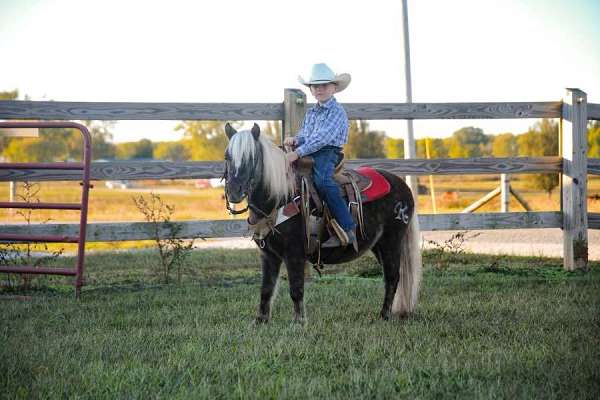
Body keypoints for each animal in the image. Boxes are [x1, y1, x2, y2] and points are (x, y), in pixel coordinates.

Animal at [224, 123, 422, 324]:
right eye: (227, 156)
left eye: (252, 158)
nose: (234, 192)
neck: (281, 196)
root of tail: (403, 185)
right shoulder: (268, 255)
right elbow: (266, 289)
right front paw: (260, 321)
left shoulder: (294, 253)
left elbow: (296, 289)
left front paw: (299, 322)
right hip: (379, 245)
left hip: (392, 241)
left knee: (392, 277)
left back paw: (384, 315)